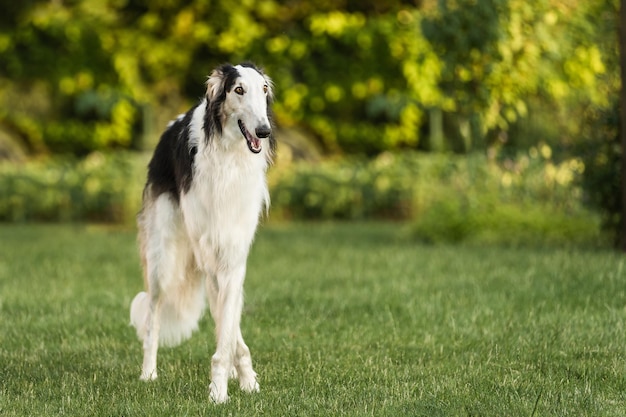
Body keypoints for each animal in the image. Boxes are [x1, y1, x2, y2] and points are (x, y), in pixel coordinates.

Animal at [130, 62, 274, 404]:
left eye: (264, 89)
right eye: (238, 90)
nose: (264, 131)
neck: (229, 157)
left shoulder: (233, 256)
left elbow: (229, 327)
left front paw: (245, 381)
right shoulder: (211, 255)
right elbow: (225, 332)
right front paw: (219, 393)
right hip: (164, 257)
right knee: (152, 317)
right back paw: (148, 373)